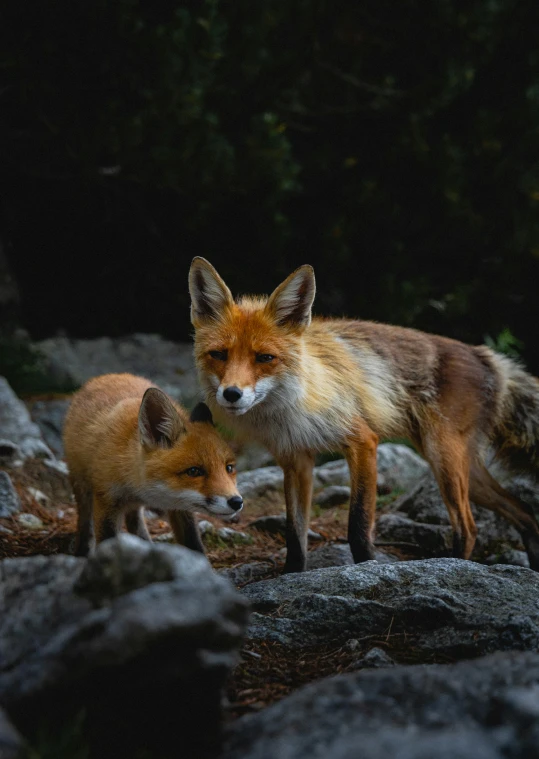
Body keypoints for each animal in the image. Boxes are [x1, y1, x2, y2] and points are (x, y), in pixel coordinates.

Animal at [188, 258, 539, 572]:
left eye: (264, 358)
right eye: (219, 355)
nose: (232, 394)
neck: (291, 407)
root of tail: (484, 354)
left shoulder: (363, 442)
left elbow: (357, 525)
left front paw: (367, 566)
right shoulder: (296, 459)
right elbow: (295, 534)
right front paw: (291, 574)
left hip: (444, 460)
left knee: (469, 527)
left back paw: (454, 565)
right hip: (463, 470)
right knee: (524, 512)